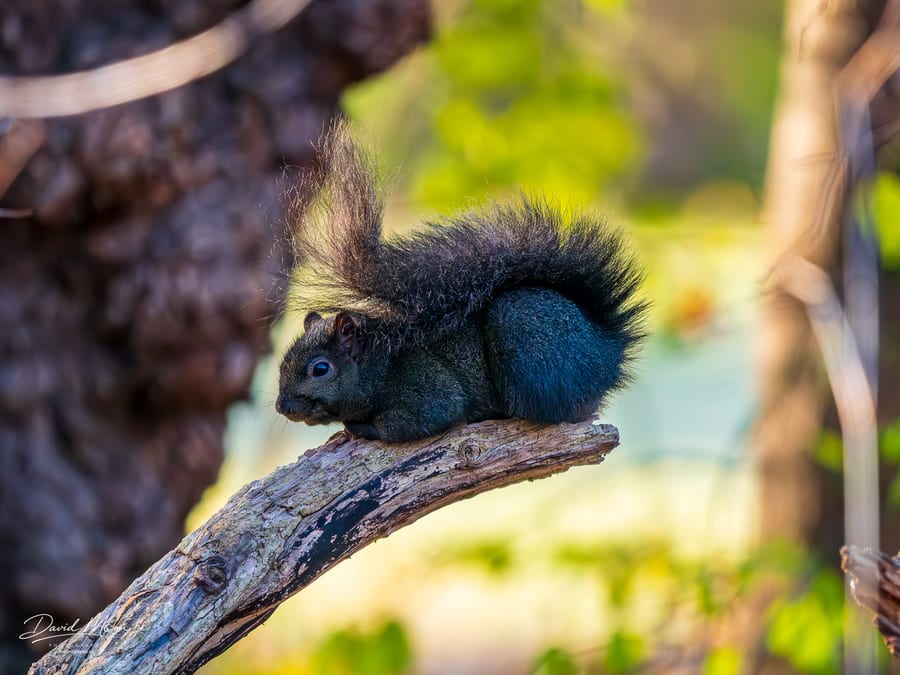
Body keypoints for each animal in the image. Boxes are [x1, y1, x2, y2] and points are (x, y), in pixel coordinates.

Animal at [275, 122, 647, 442]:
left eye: (320, 369)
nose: (282, 407)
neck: (379, 366)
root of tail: (607, 351)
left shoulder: (426, 387)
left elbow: (418, 419)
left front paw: (359, 428)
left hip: (529, 342)